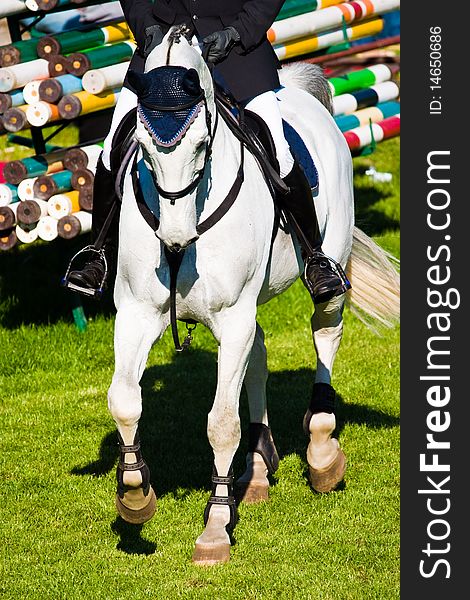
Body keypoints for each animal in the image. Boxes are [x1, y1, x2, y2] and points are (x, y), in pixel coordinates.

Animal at [107, 29, 400, 568]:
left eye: (202, 145)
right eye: (142, 148)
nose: (174, 239)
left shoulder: (232, 318)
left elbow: (221, 423)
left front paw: (216, 526)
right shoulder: (137, 313)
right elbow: (124, 401)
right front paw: (136, 496)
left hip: (327, 269)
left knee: (326, 334)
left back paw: (322, 450)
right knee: (259, 354)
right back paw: (259, 466)